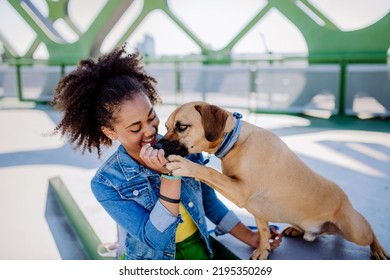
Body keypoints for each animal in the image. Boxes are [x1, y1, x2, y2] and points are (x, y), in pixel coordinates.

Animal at [156, 101, 390, 260]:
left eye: (182, 127)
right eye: (165, 126)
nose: (157, 145)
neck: (235, 142)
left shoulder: (241, 191)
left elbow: (209, 172)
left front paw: (186, 166)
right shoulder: (257, 210)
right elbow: (263, 232)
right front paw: (263, 249)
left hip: (356, 231)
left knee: (370, 232)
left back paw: (378, 249)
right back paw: (297, 230)